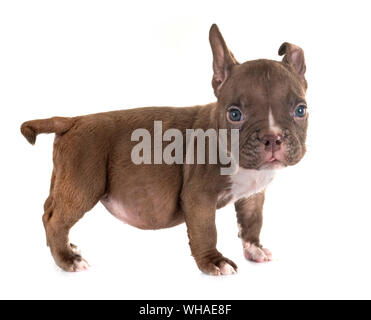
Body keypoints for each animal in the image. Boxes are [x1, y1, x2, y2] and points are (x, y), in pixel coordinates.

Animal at [21, 25, 310, 276]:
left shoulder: (253, 195)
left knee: (49, 208)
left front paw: (254, 249)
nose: (273, 137)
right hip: (83, 184)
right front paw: (213, 262)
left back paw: (67, 247)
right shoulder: (199, 197)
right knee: (56, 219)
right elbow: (206, 230)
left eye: (300, 110)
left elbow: (252, 222)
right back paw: (67, 259)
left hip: (65, 178)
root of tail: (73, 120)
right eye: (235, 114)